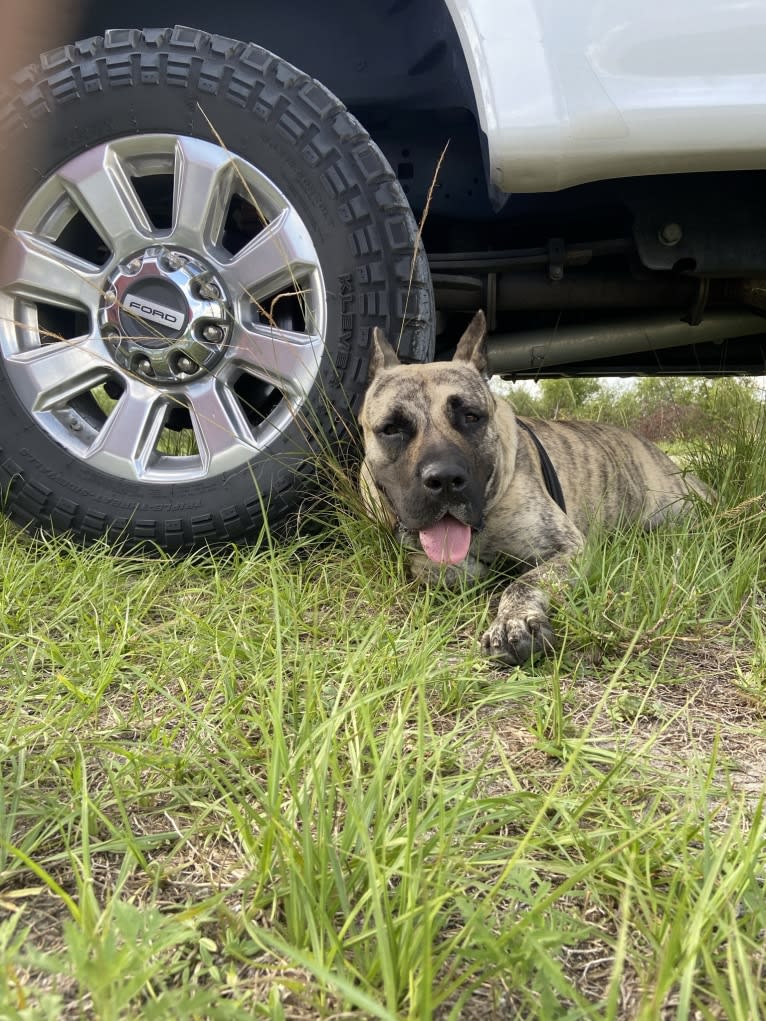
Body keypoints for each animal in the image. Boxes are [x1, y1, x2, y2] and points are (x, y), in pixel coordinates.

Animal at [359, 308, 706, 661]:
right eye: (391, 428)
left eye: (472, 416)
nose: (444, 479)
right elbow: (427, 566)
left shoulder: (568, 549)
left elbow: (523, 583)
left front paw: (513, 622)